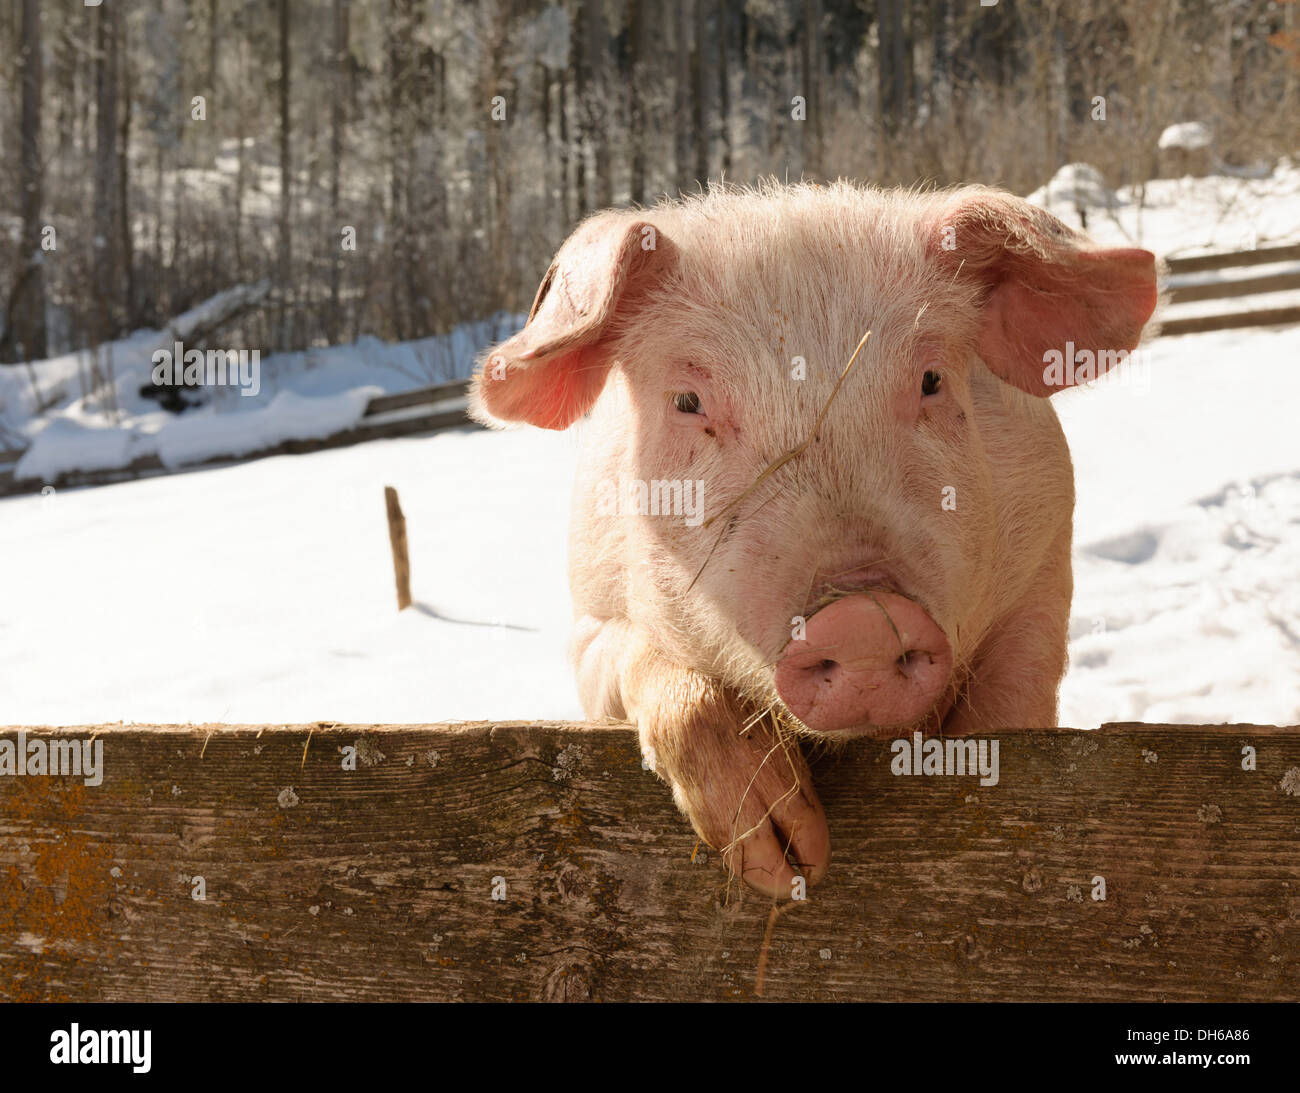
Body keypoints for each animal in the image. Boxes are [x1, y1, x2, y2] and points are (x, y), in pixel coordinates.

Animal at [470, 179, 1159, 894]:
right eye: (687, 401)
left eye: (932, 380)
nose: (861, 617)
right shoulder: (589, 619)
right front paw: (784, 863)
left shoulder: (1044, 565)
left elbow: (1011, 700)